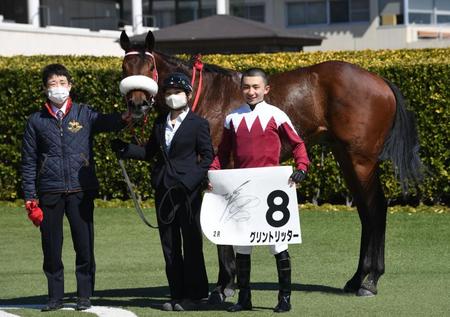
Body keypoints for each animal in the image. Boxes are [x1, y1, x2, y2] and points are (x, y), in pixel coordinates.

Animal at [118, 30, 422, 296]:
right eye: (125, 67)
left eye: (149, 67)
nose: (137, 104)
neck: (205, 98)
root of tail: (380, 81)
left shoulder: (217, 170)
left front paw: (226, 284)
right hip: (345, 158)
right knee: (365, 212)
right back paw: (358, 278)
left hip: (361, 160)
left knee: (376, 208)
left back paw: (370, 280)